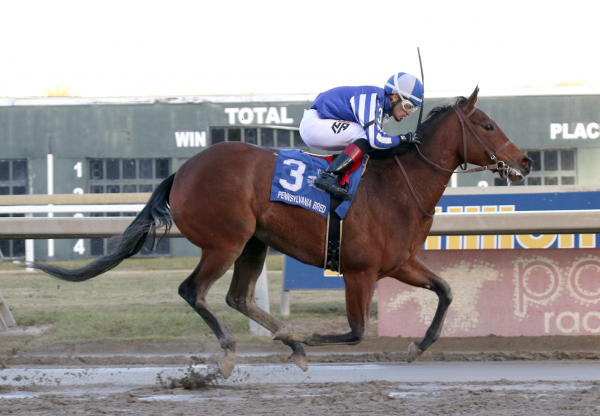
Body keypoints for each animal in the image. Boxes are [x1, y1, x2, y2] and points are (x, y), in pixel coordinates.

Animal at [30, 88, 532, 380]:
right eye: (488, 125)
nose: (525, 161)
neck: (397, 186)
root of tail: (184, 169)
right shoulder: (359, 271)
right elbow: (355, 332)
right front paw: (307, 335)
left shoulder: (399, 263)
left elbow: (445, 290)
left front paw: (417, 345)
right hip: (225, 241)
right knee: (193, 291)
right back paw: (233, 353)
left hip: (254, 242)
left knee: (236, 297)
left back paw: (283, 341)